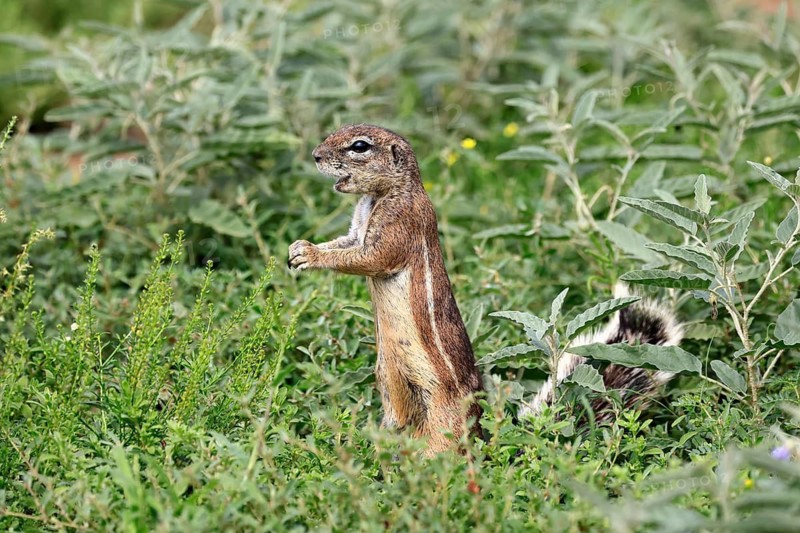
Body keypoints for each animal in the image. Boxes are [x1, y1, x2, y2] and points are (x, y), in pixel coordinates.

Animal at [288, 124, 683, 455]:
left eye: (360, 146)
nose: (316, 156)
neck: (384, 194)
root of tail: (486, 442)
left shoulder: (399, 224)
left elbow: (370, 257)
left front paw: (309, 255)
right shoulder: (357, 227)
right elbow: (347, 243)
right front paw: (299, 249)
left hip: (441, 424)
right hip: (390, 383)